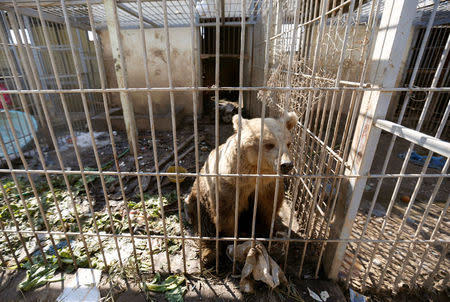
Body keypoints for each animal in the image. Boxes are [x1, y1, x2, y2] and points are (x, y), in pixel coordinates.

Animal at [184, 111, 298, 266]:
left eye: (288, 143)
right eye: (269, 144)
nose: (286, 164)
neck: (254, 174)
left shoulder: (268, 186)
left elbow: (268, 210)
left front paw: (267, 234)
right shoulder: (230, 187)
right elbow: (227, 216)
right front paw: (234, 239)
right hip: (199, 195)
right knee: (203, 222)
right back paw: (209, 255)